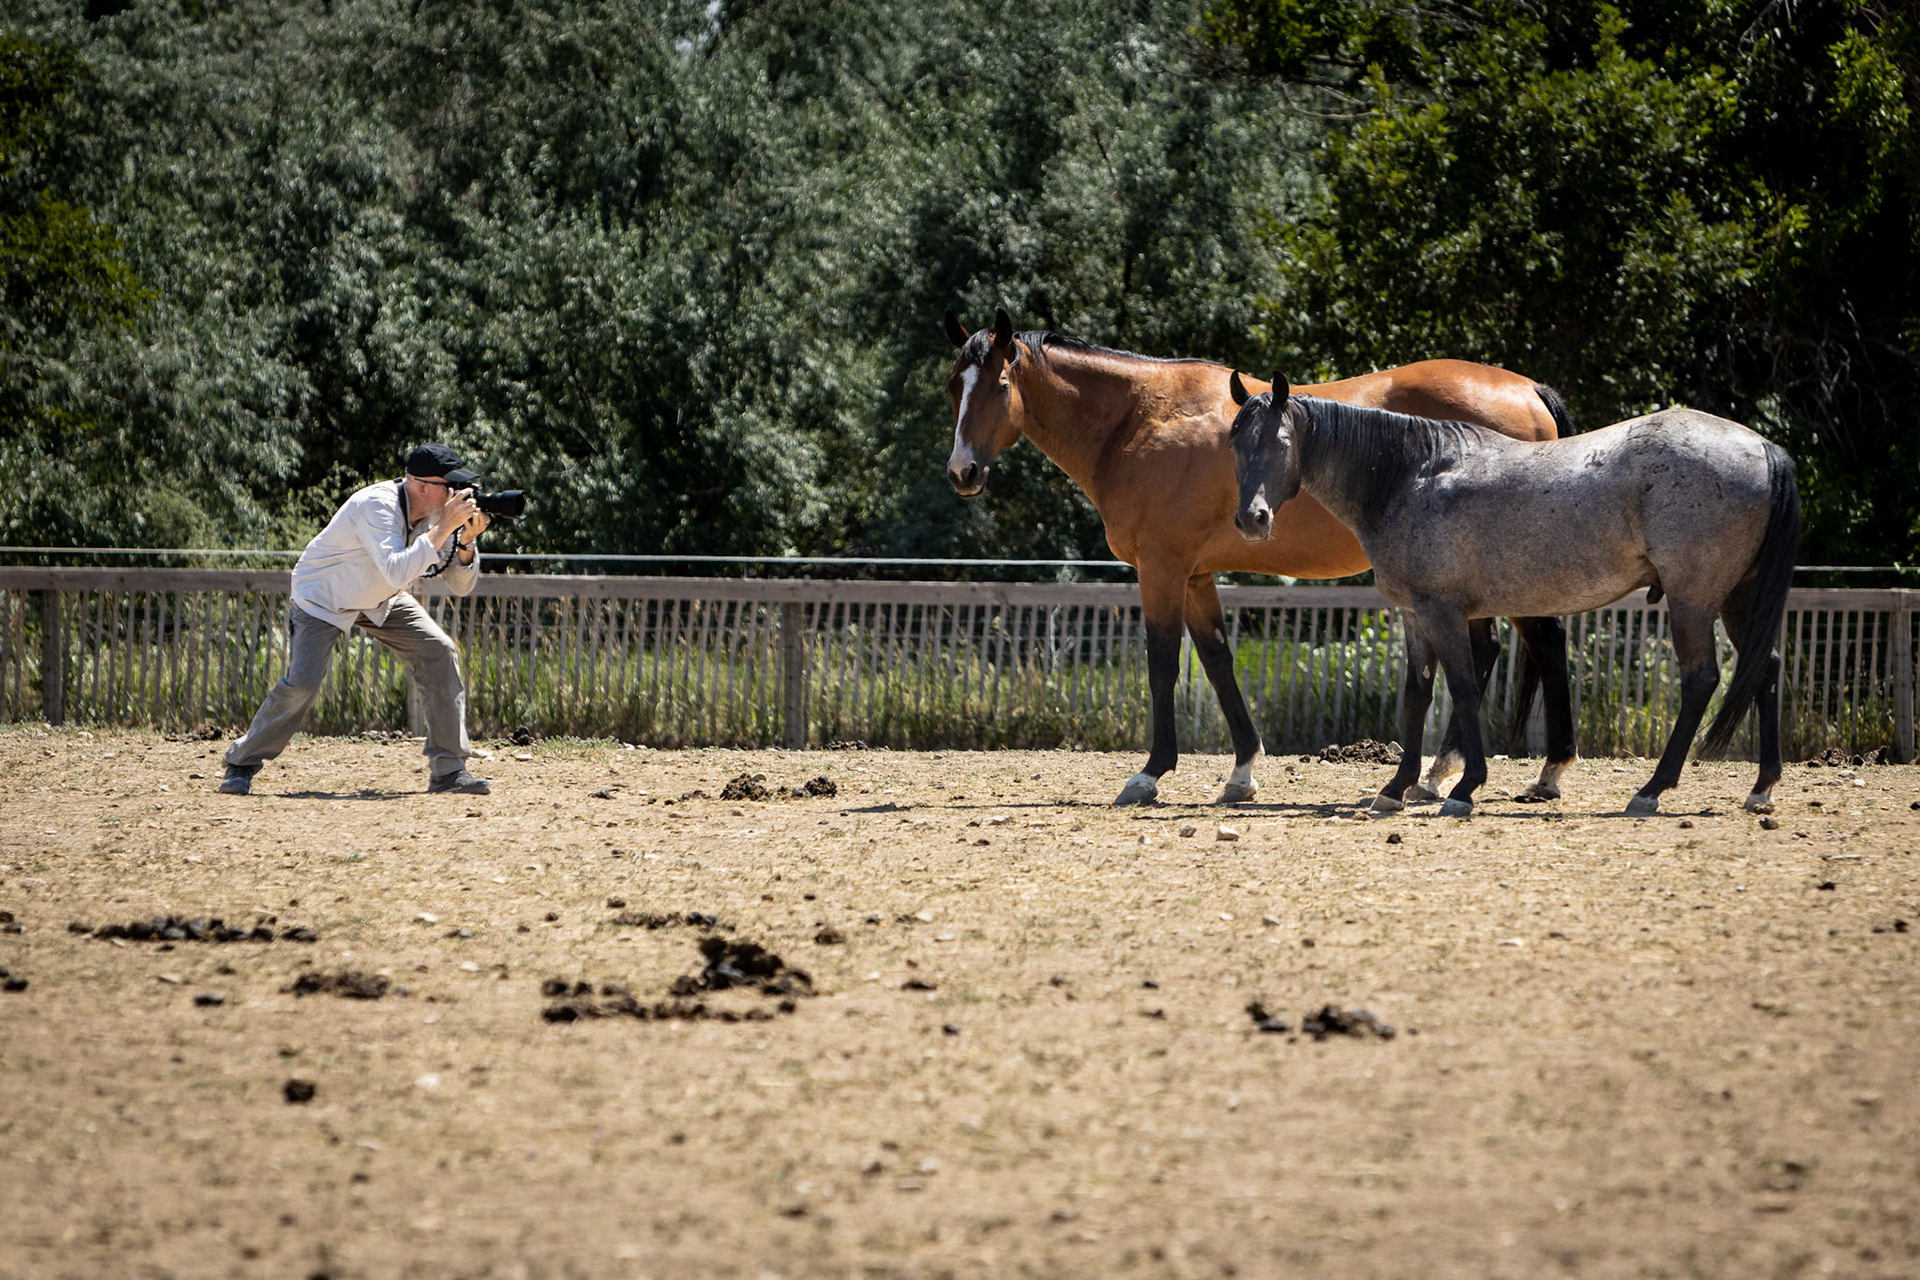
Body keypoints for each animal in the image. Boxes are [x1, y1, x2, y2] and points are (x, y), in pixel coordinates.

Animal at [942, 308, 1579, 806]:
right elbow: (1218, 663)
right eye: (954, 387)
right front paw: (1242, 772)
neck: (1142, 416)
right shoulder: (1195, 576)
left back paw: (1538, 772)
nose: (962, 472)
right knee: (1494, 648)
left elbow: (1162, 665)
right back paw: (1444, 775)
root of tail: (1528, 389)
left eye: (1000, 385)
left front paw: (1149, 775)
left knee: (1539, 642)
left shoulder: (1162, 568)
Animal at [1226, 378, 1798, 817]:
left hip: (1693, 600)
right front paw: (1395, 788)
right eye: (1235, 442)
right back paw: (1762, 788)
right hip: (1737, 599)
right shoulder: (1414, 614)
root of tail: (1765, 449)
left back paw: (1652, 789)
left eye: (1280, 441)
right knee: (1766, 668)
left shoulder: (1443, 611)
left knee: (1702, 678)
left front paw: (1463, 788)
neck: (1411, 475)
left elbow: (1463, 689)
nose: (1252, 519)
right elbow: (1417, 695)